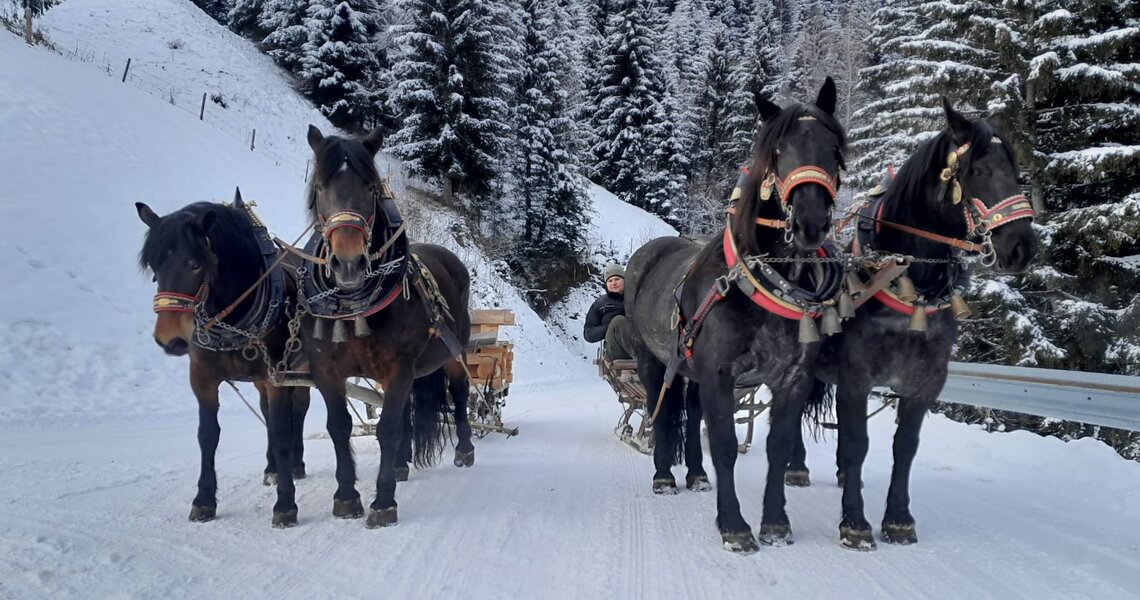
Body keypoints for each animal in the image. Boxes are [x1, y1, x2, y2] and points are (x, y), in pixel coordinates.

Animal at [135, 191, 310, 522]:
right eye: (154, 265)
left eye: (194, 264)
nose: (170, 339)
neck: (232, 320)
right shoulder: (202, 378)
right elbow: (208, 435)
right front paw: (203, 499)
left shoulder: (277, 376)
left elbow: (281, 430)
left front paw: (286, 504)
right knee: (266, 411)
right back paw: (273, 468)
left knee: (298, 410)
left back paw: (294, 465)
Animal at [264, 124, 474, 529]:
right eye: (320, 187)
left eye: (370, 188)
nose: (349, 263)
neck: (353, 305)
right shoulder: (327, 370)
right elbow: (340, 426)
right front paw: (347, 497)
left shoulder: (399, 366)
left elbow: (387, 427)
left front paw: (383, 502)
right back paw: (402, 463)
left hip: (453, 353)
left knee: (458, 395)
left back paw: (464, 450)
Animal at [624, 77, 848, 553]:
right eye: (778, 150)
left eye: (834, 148)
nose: (810, 223)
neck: (761, 285)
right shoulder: (720, 375)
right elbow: (725, 445)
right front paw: (734, 525)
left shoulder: (791, 378)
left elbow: (778, 447)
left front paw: (776, 523)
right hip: (653, 361)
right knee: (659, 410)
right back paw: (664, 476)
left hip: (688, 368)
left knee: (689, 416)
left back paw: (695, 475)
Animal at [798, 98, 1039, 550]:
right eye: (978, 172)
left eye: (1017, 173)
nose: (1023, 248)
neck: (908, 281)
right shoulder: (856, 374)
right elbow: (857, 442)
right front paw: (854, 522)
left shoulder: (927, 381)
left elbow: (904, 447)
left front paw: (898, 518)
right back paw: (796, 467)